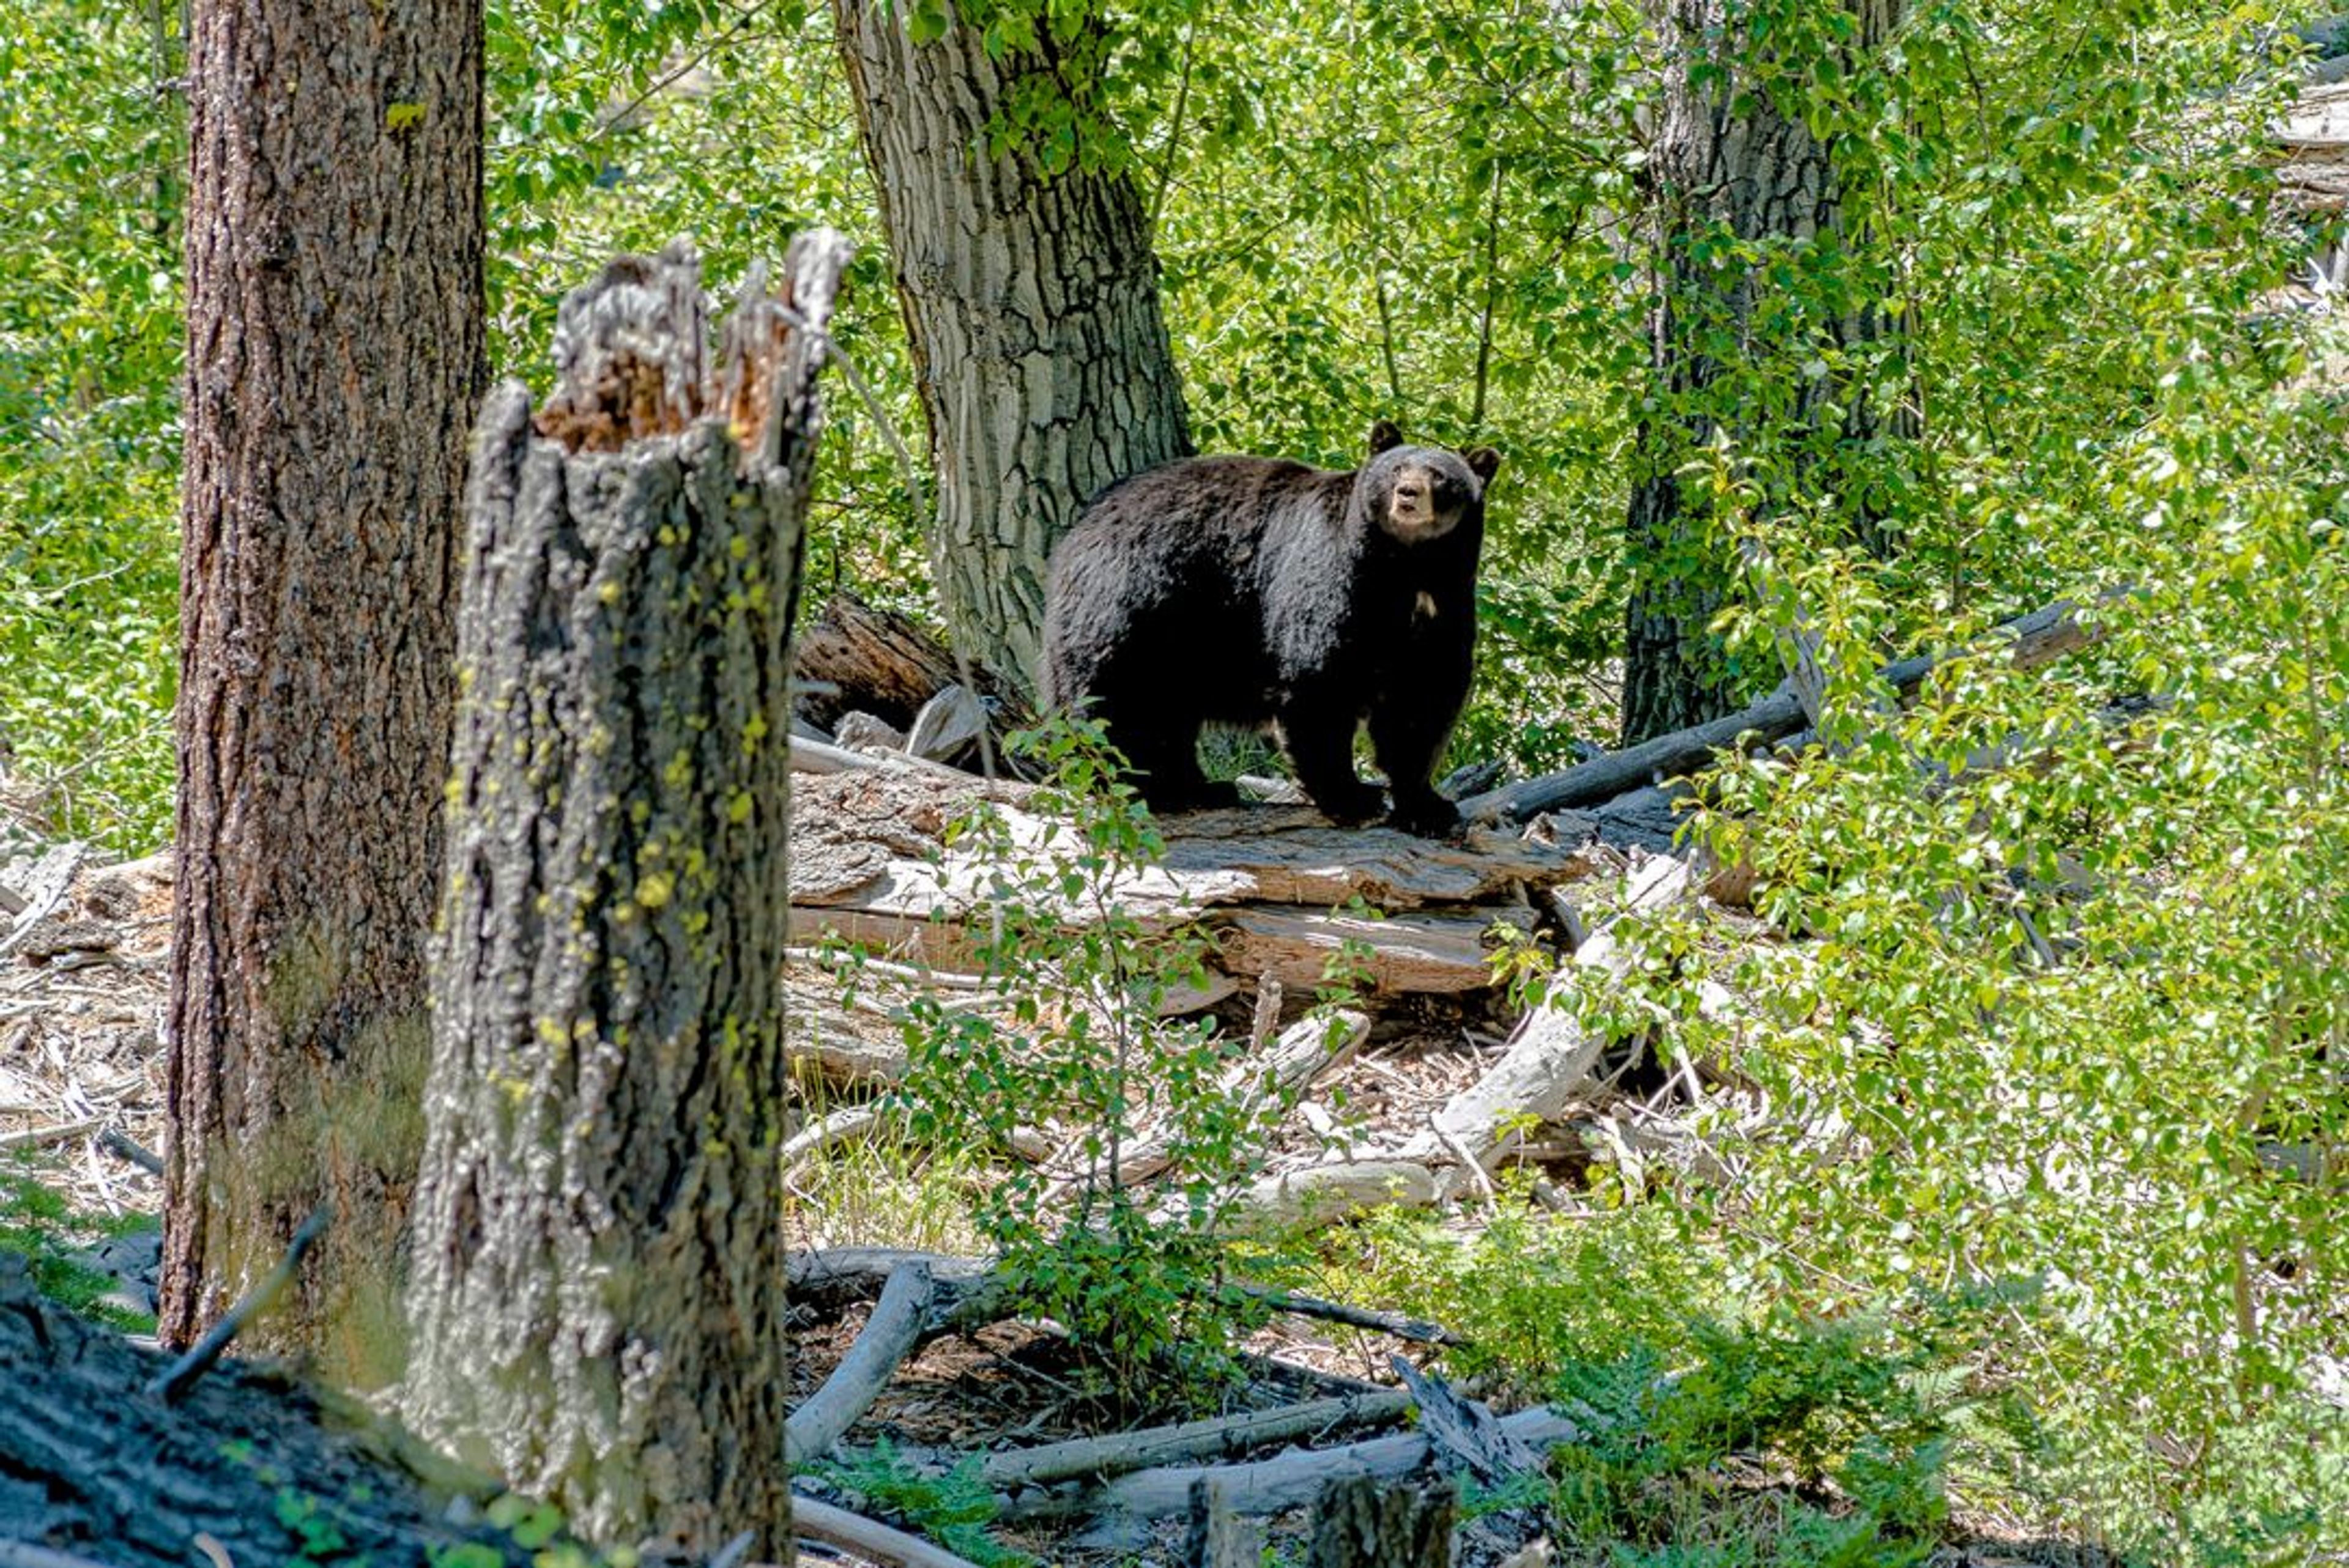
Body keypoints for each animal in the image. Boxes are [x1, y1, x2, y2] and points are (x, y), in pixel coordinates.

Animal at [1038, 415, 1494, 830]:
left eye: (1440, 475)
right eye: (1397, 468)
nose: (1408, 494)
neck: (1405, 568)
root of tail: (1078, 529)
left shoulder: (1443, 607)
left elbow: (1422, 701)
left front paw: (1427, 806)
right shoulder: (1333, 579)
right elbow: (1319, 680)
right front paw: (1352, 798)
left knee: (1167, 714)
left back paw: (1201, 788)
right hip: (1132, 602)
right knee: (1117, 701)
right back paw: (1143, 786)